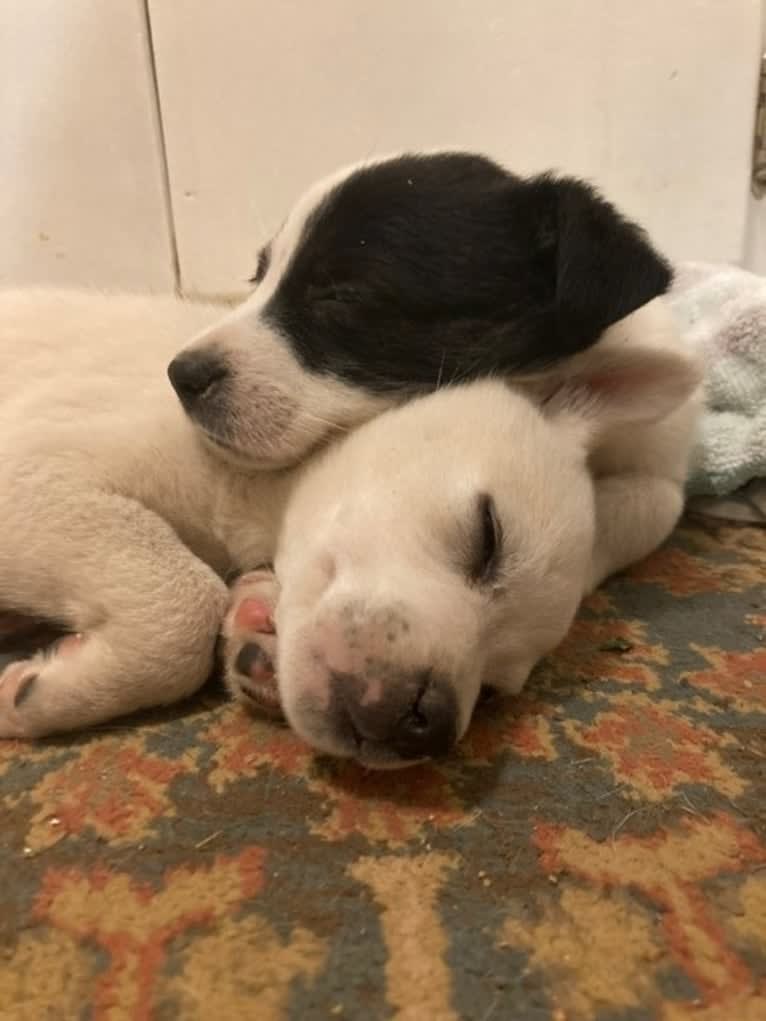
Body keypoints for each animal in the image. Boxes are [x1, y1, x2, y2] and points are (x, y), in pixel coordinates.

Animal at [0, 287, 702, 767]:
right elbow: (182, 602)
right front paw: (55, 691)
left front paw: (259, 625)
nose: (424, 724)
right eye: (488, 534)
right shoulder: (29, 479)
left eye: (497, 688)